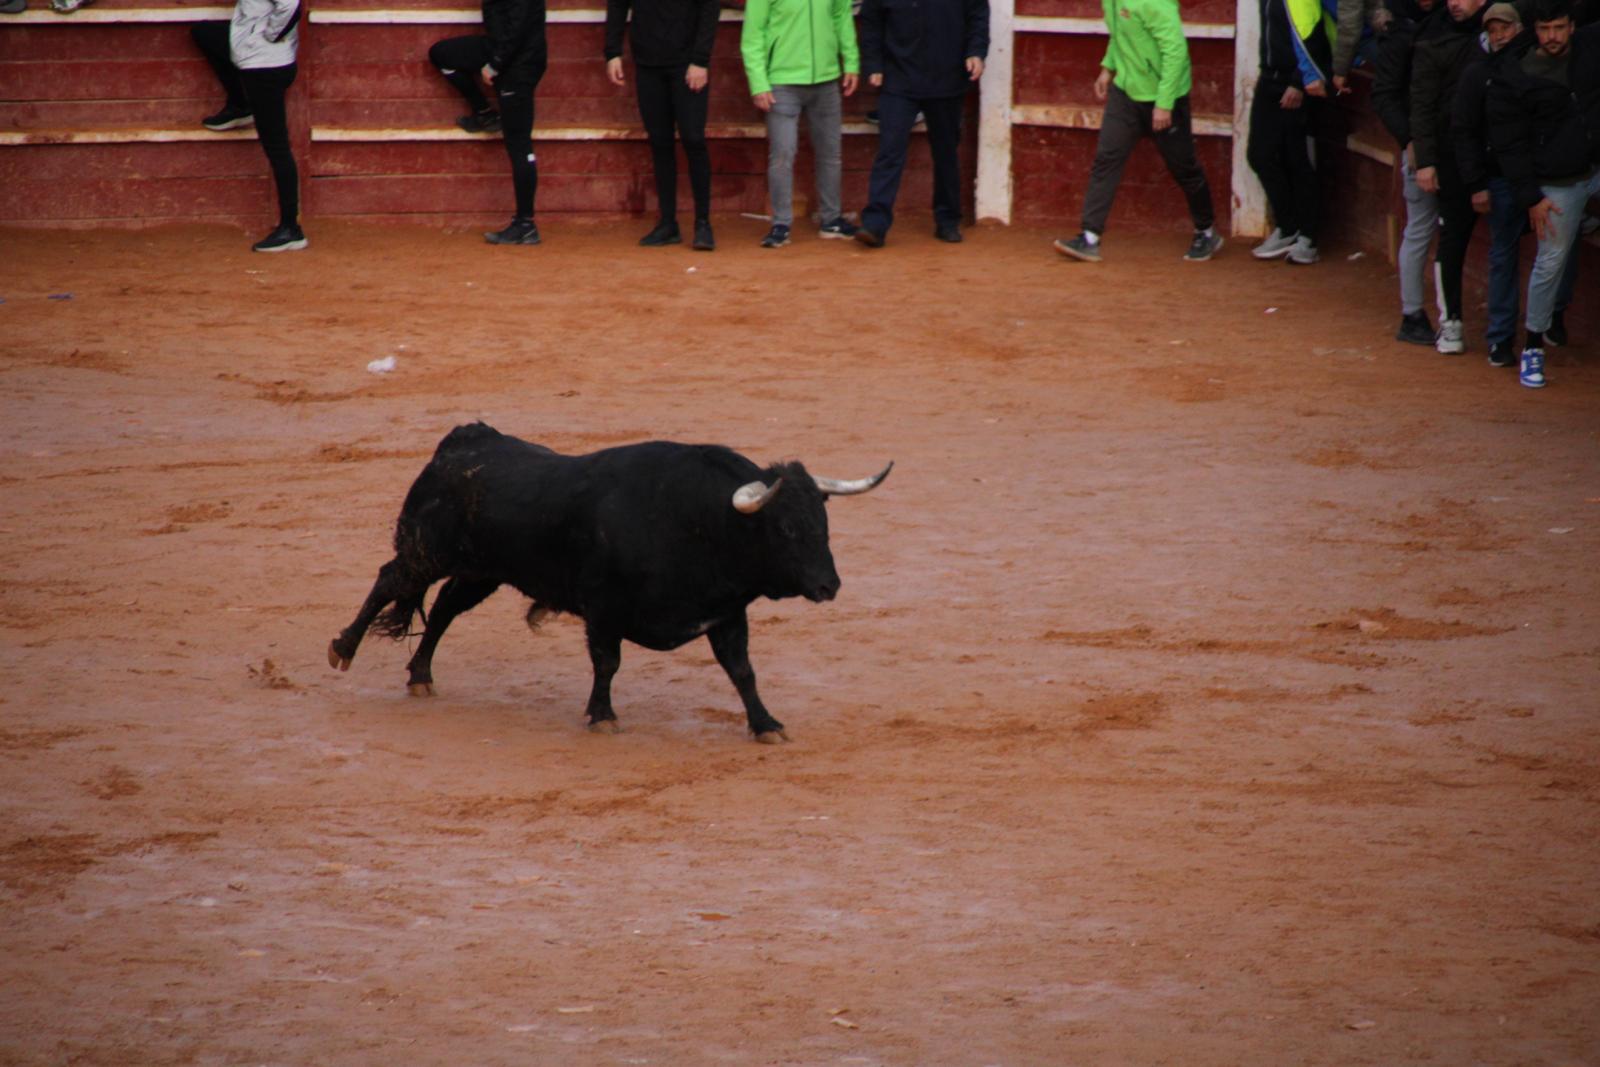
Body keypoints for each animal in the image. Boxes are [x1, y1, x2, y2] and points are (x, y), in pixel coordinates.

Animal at [329, 422, 896, 742]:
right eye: (786, 528)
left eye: (823, 522)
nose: (829, 586)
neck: (699, 520)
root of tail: (460, 444)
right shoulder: (603, 610)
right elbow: (608, 662)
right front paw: (602, 715)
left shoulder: (726, 615)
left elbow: (742, 671)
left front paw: (766, 725)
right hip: (425, 552)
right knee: (389, 582)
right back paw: (344, 648)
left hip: (479, 571)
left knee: (444, 608)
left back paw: (421, 675)